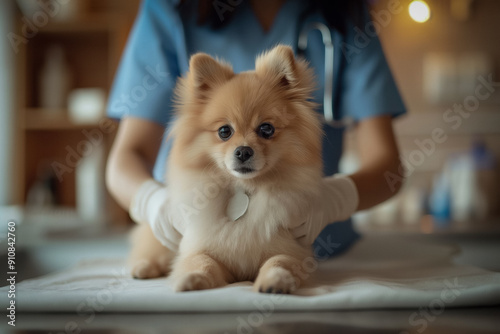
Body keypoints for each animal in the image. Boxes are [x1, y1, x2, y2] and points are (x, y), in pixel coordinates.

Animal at [131, 45, 322, 294]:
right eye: (224, 131)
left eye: (266, 129)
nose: (243, 151)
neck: (245, 188)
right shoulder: (200, 247)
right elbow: (201, 261)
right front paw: (191, 278)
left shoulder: (291, 249)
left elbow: (278, 262)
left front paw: (275, 281)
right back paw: (144, 267)